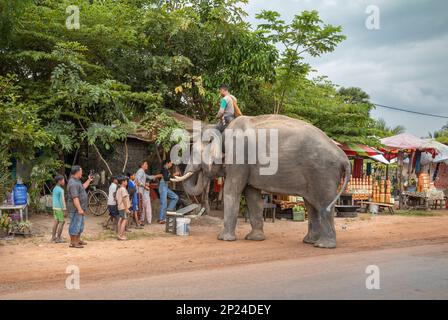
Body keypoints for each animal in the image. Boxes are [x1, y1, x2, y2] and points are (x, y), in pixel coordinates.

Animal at [173, 114, 352, 249]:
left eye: (195, 152)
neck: (222, 129)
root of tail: (343, 156)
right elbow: (252, 196)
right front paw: (254, 238)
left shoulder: (239, 158)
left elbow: (232, 191)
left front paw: (223, 239)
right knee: (311, 204)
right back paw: (309, 241)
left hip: (323, 172)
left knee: (323, 203)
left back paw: (323, 245)